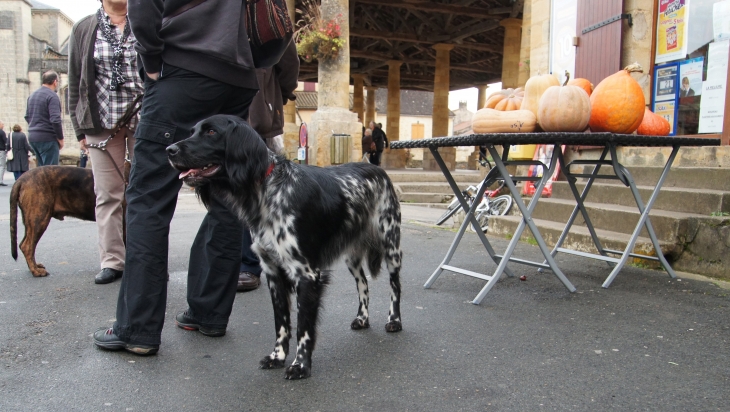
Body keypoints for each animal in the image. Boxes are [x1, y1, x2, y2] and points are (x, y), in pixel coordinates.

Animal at [166, 115, 404, 380]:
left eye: (210, 132)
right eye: (193, 131)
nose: (169, 150)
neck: (268, 191)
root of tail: (378, 169)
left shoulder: (307, 275)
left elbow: (303, 327)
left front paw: (300, 365)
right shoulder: (272, 273)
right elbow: (281, 323)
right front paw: (277, 357)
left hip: (391, 245)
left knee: (395, 286)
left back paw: (394, 320)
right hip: (351, 257)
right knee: (363, 284)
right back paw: (362, 318)